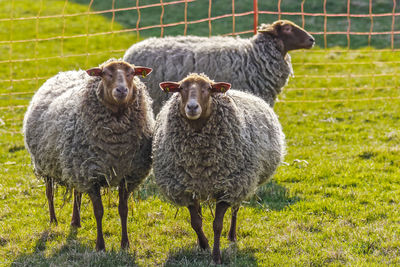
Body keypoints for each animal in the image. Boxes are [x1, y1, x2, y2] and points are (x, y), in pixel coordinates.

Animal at [23, 59, 154, 252]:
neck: (117, 147)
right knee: (49, 193)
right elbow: (98, 212)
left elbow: (123, 210)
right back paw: (53, 220)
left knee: (76, 193)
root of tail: (64, 73)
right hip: (47, 165)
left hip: (75, 165)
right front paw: (100, 246)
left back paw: (75, 221)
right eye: (105, 73)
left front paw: (125, 244)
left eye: (132, 73)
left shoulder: (126, 175)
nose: (121, 90)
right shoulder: (92, 176)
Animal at [152, 74, 286, 266]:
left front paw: (216, 257)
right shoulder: (187, 189)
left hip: (240, 182)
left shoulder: (227, 188)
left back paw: (232, 236)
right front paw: (204, 245)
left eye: (208, 89)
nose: (192, 107)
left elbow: (217, 225)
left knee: (235, 209)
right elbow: (196, 222)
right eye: (180, 88)